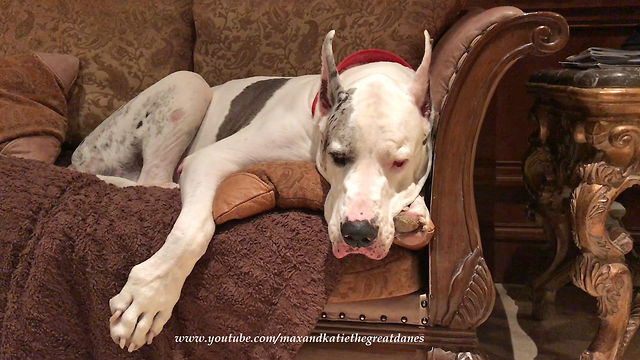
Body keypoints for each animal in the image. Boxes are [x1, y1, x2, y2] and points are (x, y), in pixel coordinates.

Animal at [72, 31, 438, 352]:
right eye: (338, 156)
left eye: (399, 162)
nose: (358, 232)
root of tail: (78, 154)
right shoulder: (209, 159)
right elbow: (193, 230)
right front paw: (150, 295)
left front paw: (413, 213)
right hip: (188, 85)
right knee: (152, 178)